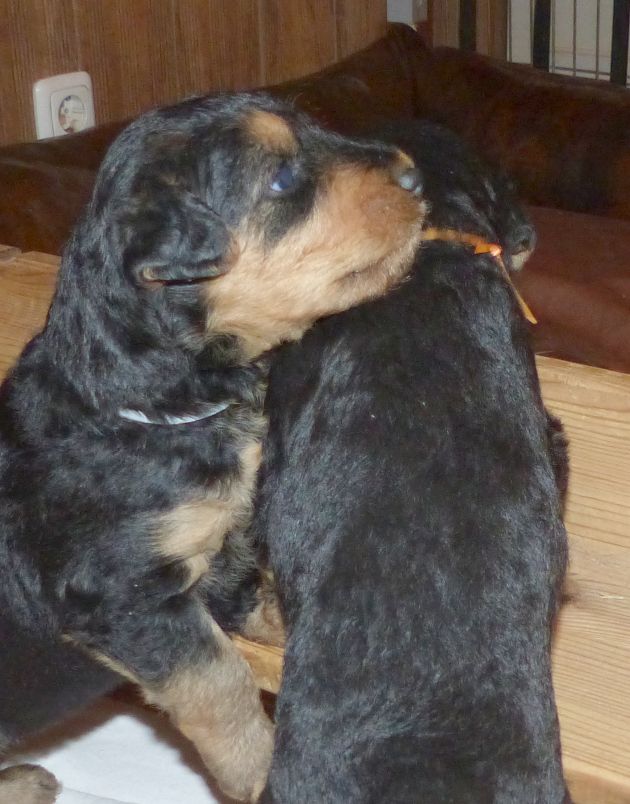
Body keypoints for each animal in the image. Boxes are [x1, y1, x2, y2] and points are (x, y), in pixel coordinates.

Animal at [0, 93, 426, 803]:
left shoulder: (223, 536)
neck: (155, 408)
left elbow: (255, 586)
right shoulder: (121, 592)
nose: (415, 173)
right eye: (281, 179)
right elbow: (217, 677)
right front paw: (258, 771)